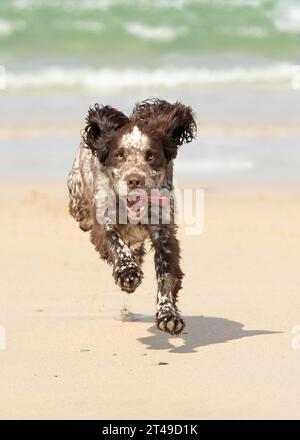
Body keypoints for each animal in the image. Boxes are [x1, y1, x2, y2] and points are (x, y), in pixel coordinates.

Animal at [68, 99, 197, 334]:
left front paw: (168, 315)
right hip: (77, 192)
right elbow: (114, 242)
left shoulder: (164, 231)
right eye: (119, 154)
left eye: (151, 155)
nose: (134, 180)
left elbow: (166, 274)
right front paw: (127, 272)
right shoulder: (104, 217)